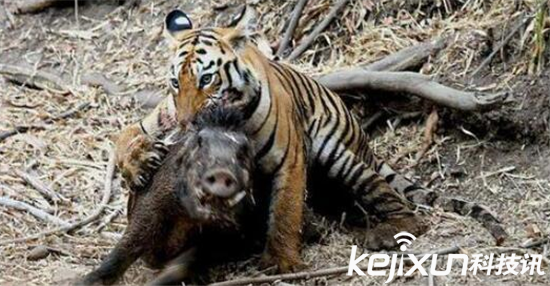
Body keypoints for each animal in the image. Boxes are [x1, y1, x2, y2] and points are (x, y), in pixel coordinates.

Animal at [115, 5, 508, 272]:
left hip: (341, 156)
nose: (186, 122)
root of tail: (364, 141)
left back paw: (386, 233)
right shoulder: (157, 118)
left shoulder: (289, 157)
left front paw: (281, 262)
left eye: (207, 80)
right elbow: (124, 137)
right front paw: (138, 164)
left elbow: (285, 211)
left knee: (405, 209)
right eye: (175, 83)